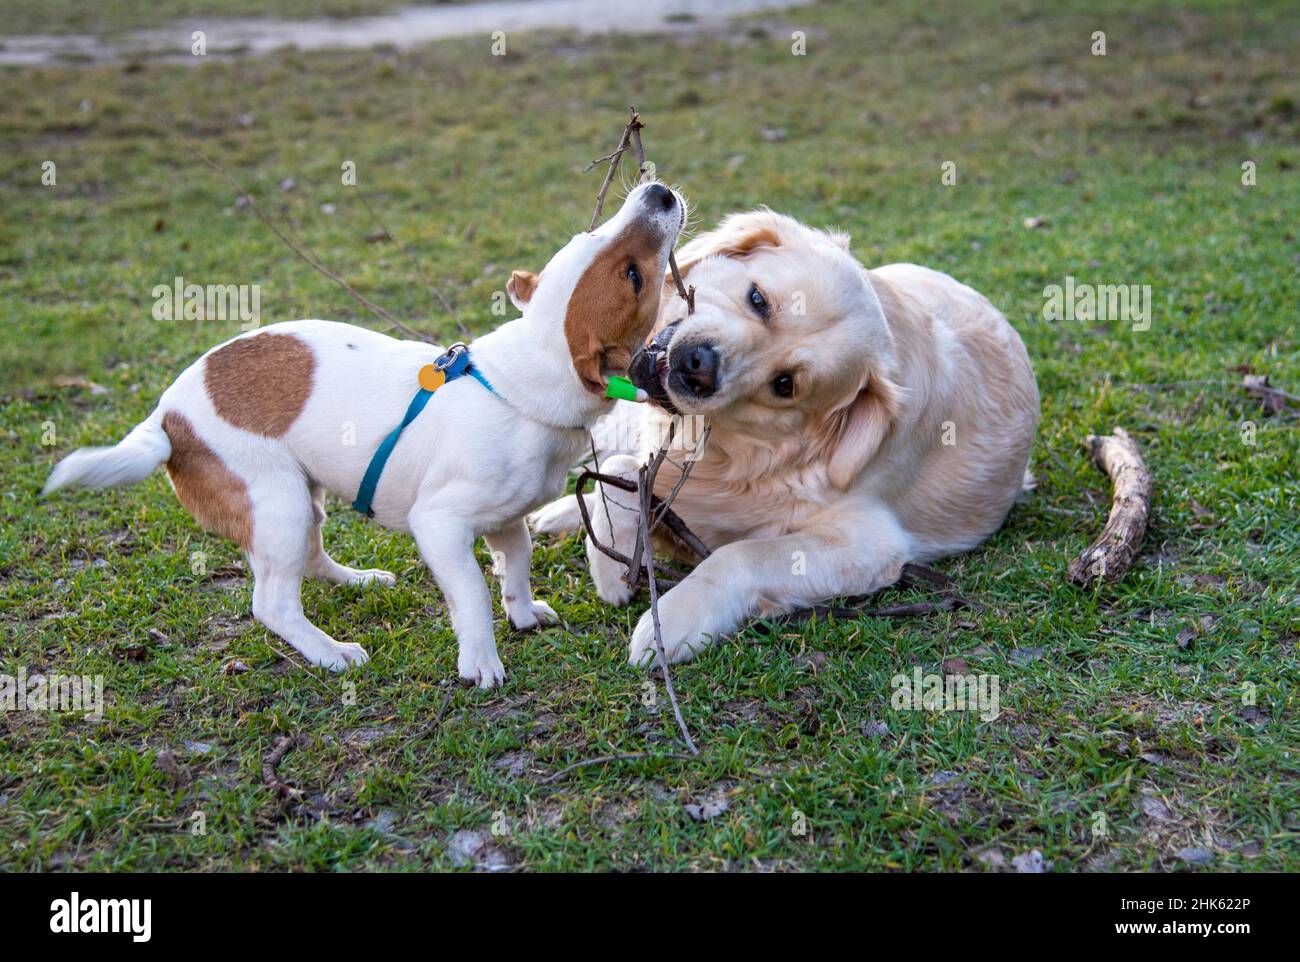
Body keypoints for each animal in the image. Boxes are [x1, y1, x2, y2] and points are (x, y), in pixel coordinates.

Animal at [45, 182, 686, 686]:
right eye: (633, 276)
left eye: (593, 235)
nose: (658, 191)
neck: (513, 385)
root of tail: (165, 419)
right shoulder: (441, 526)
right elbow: (473, 595)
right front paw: (480, 661)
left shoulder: (504, 520)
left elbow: (517, 564)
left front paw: (524, 613)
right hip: (277, 504)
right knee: (272, 603)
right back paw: (330, 653)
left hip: (300, 502)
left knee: (309, 559)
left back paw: (359, 581)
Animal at [527, 206, 1034, 665]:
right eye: (758, 299)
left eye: (784, 385)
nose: (699, 368)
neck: (732, 448)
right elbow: (619, 469)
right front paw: (609, 565)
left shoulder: (871, 544)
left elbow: (741, 554)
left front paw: (670, 618)